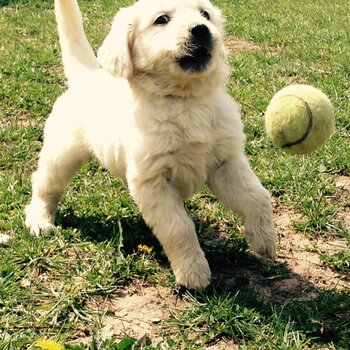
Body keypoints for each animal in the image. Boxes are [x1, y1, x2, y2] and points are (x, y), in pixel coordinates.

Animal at [25, 0, 276, 290]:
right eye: (162, 19)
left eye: (205, 14)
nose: (201, 29)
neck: (184, 99)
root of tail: (87, 77)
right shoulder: (153, 182)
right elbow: (179, 227)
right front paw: (193, 272)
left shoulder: (227, 162)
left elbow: (256, 196)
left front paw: (264, 239)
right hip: (62, 153)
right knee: (45, 184)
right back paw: (40, 219)